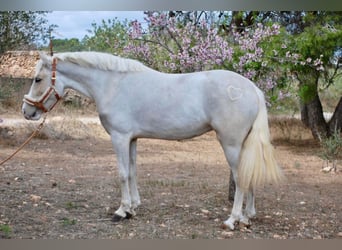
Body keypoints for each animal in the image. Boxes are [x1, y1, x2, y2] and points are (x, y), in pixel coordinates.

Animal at [22, 50, 284, 230]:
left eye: (37, 79)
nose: (27, 111)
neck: (113, 85)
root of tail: (253, 89)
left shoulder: (119, 137)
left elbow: (122, 173)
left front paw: (121, 211)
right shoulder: (132, 139)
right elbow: (133, 171)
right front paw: (133, 207)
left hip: (231, 144)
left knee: (240, 179)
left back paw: (232, 220)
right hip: (244, 145)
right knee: (249, 175)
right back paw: (247, 217)